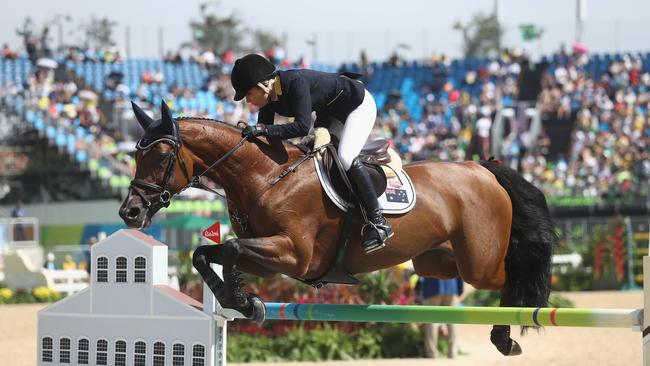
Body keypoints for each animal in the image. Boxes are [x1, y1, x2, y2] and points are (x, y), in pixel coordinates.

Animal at [119, 101, 556, 358]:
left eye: (160, 155)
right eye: (135, 155)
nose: (130, 212)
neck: (266, 176)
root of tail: (482, 167)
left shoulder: (294, 254)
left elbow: (228, 250)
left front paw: (241, 298)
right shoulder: (268, 255)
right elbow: (208, 252)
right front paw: (243, 300)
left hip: (479, 262)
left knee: (512, 276)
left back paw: (504, 336)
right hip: (436, 261)